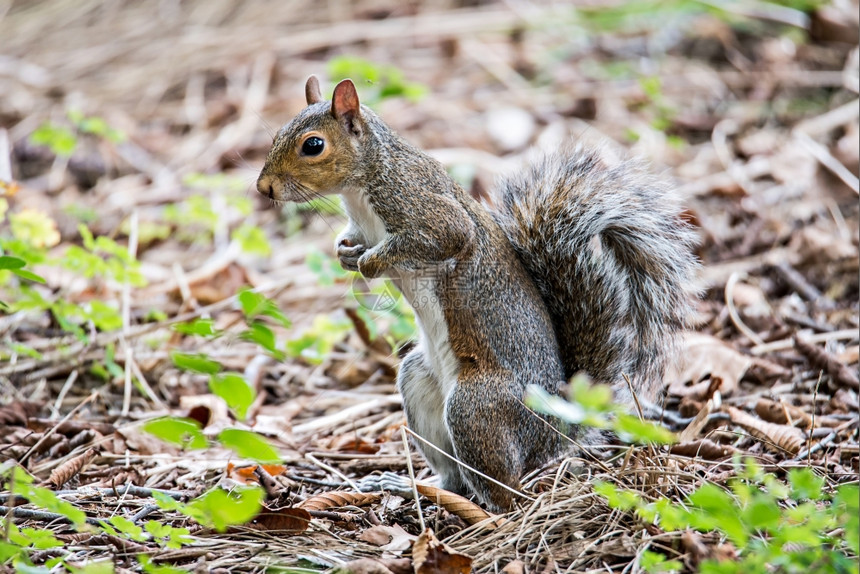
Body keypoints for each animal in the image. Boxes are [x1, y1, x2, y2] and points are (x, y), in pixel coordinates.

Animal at [255, 76, 700, 512]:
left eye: (313, 145)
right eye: (276, 133)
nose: (264, 187)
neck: (365, 180)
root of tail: (553, 429)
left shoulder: (422, 206)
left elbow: (444, 236)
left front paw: (370, 263)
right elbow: (350, 241)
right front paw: (346, 254)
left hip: (475, 408)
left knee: (505, 495)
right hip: (419, 382)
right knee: (455, 476)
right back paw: (407, 486)